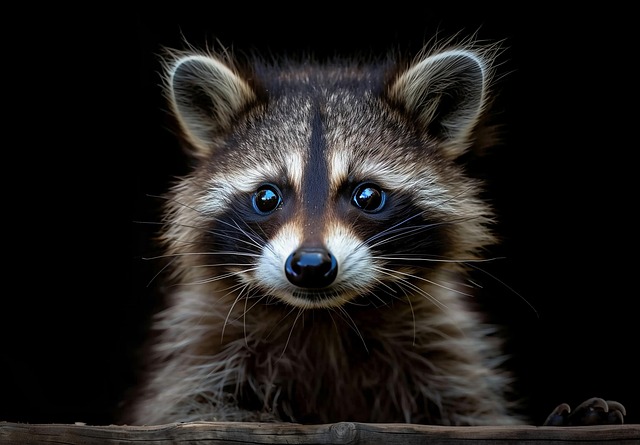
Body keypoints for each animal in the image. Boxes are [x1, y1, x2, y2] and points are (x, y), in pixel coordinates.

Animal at [127, 39, 623, 426]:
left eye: (367, 196)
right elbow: (193, 406)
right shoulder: (201, 347)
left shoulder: (442, 349)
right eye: (267, 197)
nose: (310, 265)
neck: (325, 318)